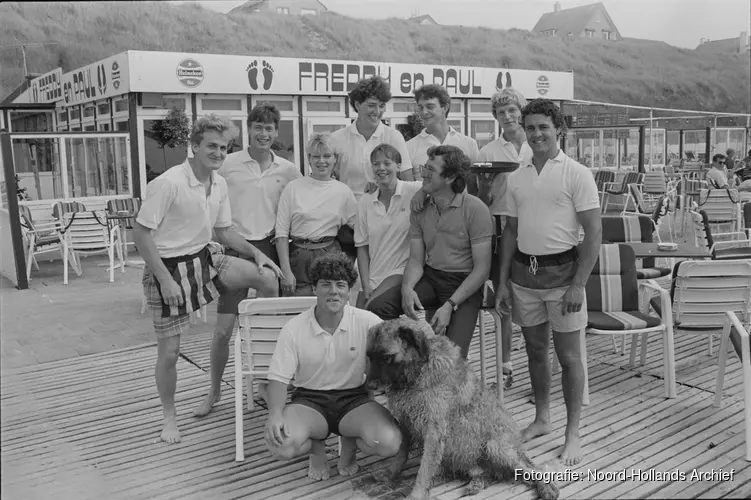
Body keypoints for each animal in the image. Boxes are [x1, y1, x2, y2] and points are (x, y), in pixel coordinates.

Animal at [366, 318, 560, 500]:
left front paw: (417, 494)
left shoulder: (434, 431)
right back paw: (476, 483)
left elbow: (424, 469)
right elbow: (401, 453)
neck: (417, 370)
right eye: (369, 356)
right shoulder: (406, 421)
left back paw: (545, 487)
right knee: (488, 473)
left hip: (495, 446)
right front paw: (391, 473)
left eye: (385, 357)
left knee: (534, 469)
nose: (369, 384)